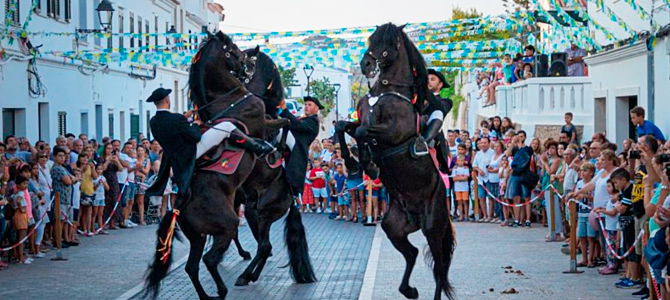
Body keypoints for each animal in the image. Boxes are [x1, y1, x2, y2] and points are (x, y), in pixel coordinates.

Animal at [145, 31, 270, 300]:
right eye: (233, 48)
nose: (248, 66)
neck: (229, 99)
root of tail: (178, 208)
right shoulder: (261, 122)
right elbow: (277, 122)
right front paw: (265, 147)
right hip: (226, 224)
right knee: (209, 259)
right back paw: (223, 289)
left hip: (198, 236)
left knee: (192, 266)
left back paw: (209, 294)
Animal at [228, 47, 318, 286]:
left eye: (248, 62)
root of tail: (291, 200)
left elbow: (285, 124)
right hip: (253, 210)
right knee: (261, 245)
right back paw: (250, 273)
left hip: (264, 213)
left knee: (264, 246)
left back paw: (245, 275)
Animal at [342, 22, 456, 300]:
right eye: (372, 38)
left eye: (389, 43)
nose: (366, 64)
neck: (386, 91)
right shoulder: (360, 121)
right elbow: (344, 127)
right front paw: (355, 161)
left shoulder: (392, 132)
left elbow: (363, 132)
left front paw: (368, 163)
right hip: (393, 227)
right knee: (412, 253)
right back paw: (409, 290)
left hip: (433, 227)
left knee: (439, 266)